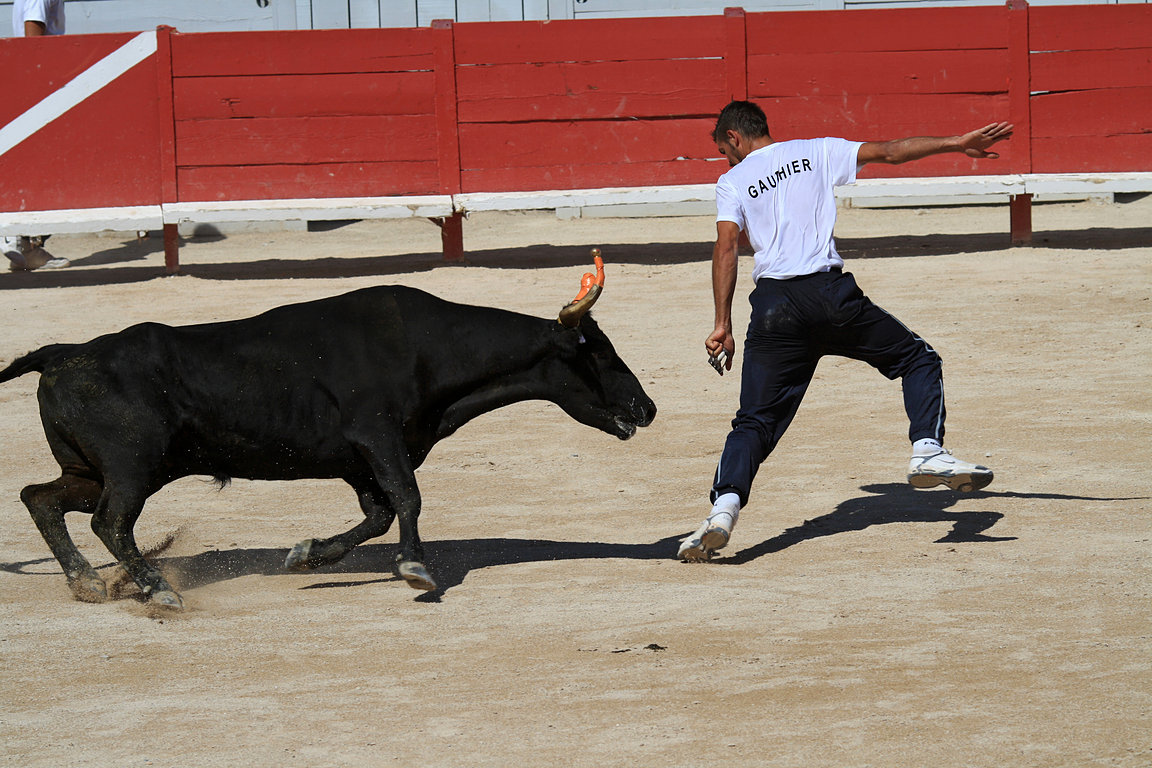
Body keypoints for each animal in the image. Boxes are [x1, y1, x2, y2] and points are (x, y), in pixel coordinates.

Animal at [0, 267, 658, 607]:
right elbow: (408, 499)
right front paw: (417, 571)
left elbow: (380, 513)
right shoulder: (378, 439)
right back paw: (158, 589)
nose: (646, 407)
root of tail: (63, 353)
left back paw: (88, 583)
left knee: (43, 499)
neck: (427, 349)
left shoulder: (359, 461)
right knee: (110, 521)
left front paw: (307, 555)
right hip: (133, 469)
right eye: (597, 352)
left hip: (95, 471)